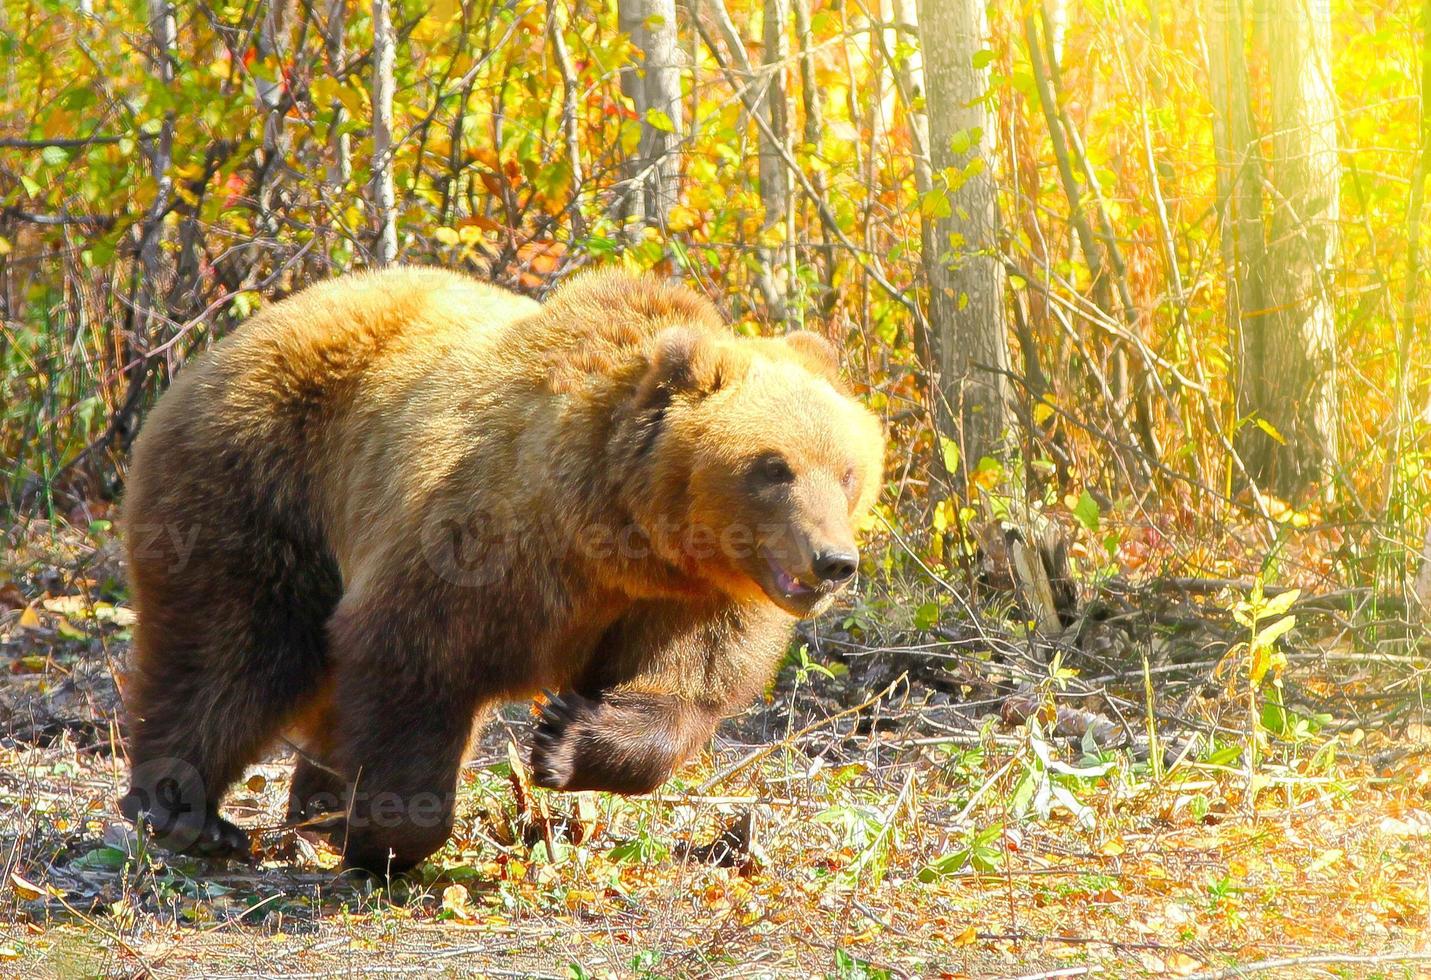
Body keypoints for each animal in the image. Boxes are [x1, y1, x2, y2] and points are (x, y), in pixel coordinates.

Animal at [123, 267, 881, 869]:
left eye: (847, 470)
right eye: (772, 466)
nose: (833, 561)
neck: (612, 536)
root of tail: (232, 337)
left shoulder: (689, 599)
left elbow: (683, 688)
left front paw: (563, 739)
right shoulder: (479, 542)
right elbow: (413, 658)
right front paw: (384, 834)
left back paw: (311, 802)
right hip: (264, 485)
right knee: (233, 651)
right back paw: (185, 811)